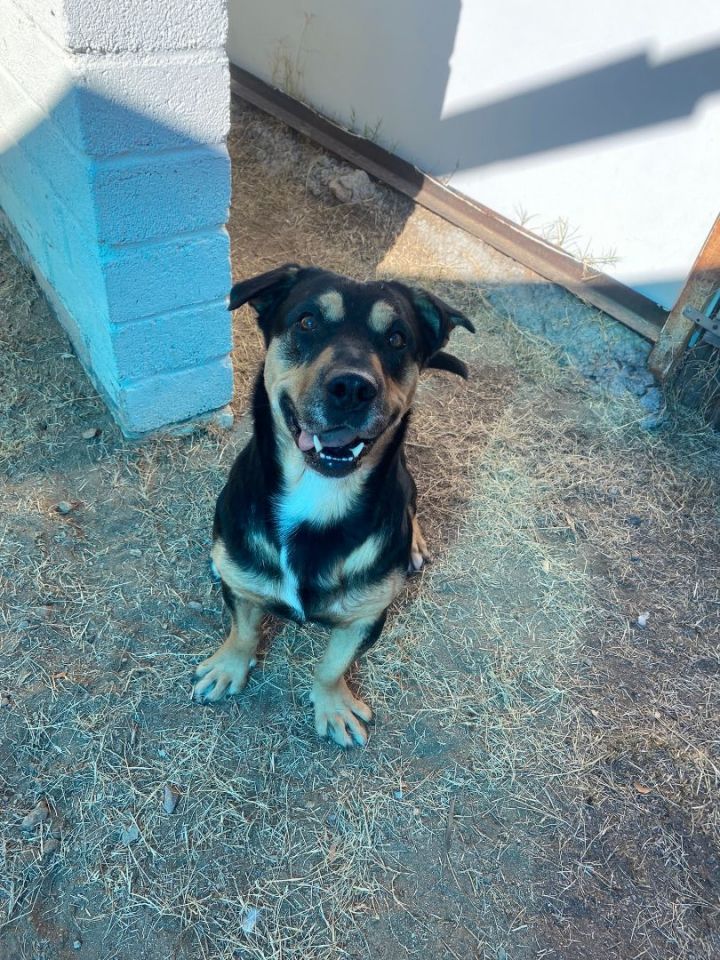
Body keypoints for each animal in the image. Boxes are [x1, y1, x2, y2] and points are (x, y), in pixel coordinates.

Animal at [193, 266, 472, 748]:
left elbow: (332, 665)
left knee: (412, 506)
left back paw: (414, 546)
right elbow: (243, 631)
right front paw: (229, 666)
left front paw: (332, 704)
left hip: (407, 479)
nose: (352, 387)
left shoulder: (366, 617)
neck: (320, 493)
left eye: (397, 338)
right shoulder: (243, 590)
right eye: (307, 322)